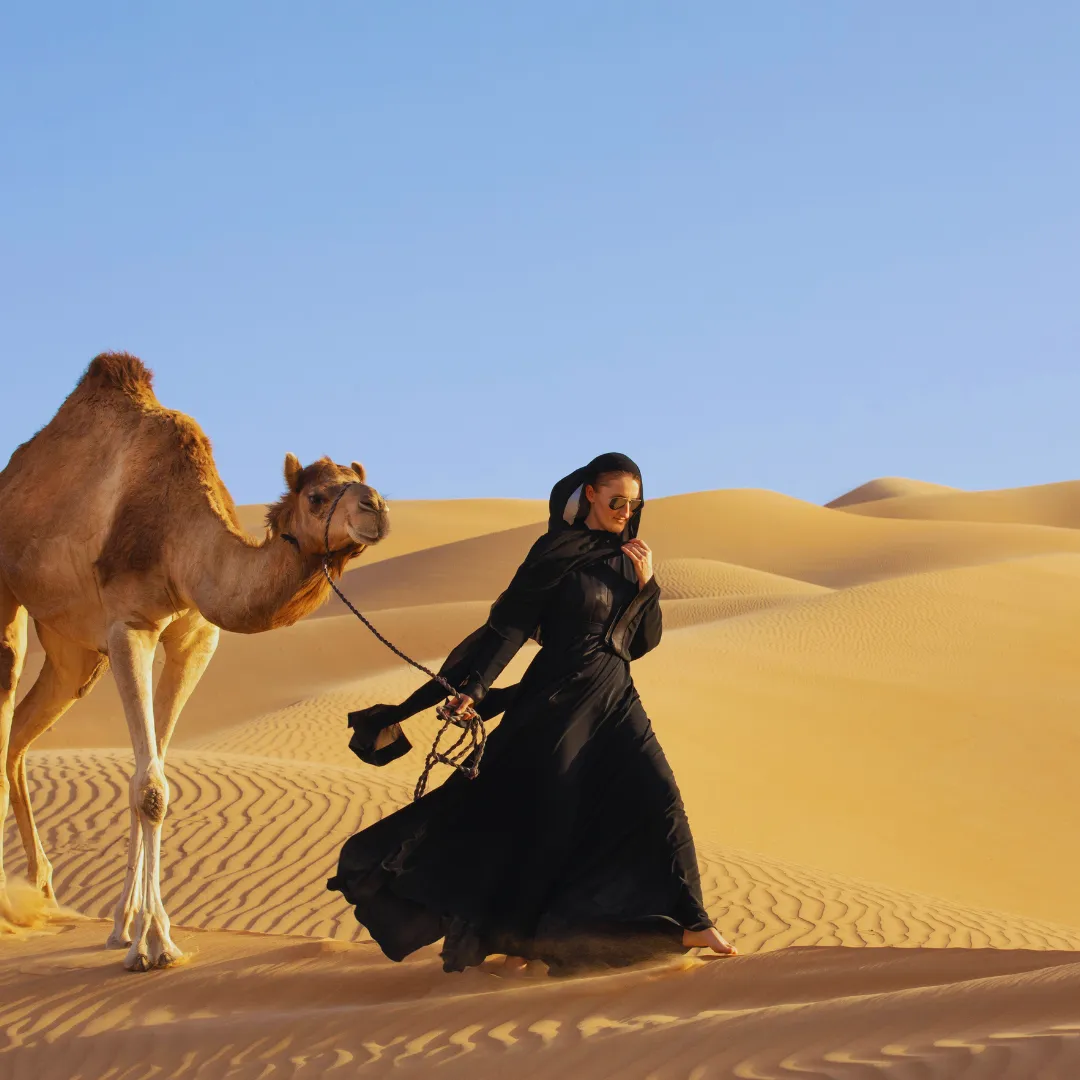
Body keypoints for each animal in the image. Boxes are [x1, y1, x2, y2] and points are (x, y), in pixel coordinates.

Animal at [0, 353, 389, 970]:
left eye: (365, 481)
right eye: (317, 497)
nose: (376, 508)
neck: (178, 533)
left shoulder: (195, 637)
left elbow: (150, 775)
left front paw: (127, 927)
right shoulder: (129, 626)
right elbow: (150, 788)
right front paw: (156, 943)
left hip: (72, 650)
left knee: (18, 736)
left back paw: (40, 890)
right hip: (10, 598)